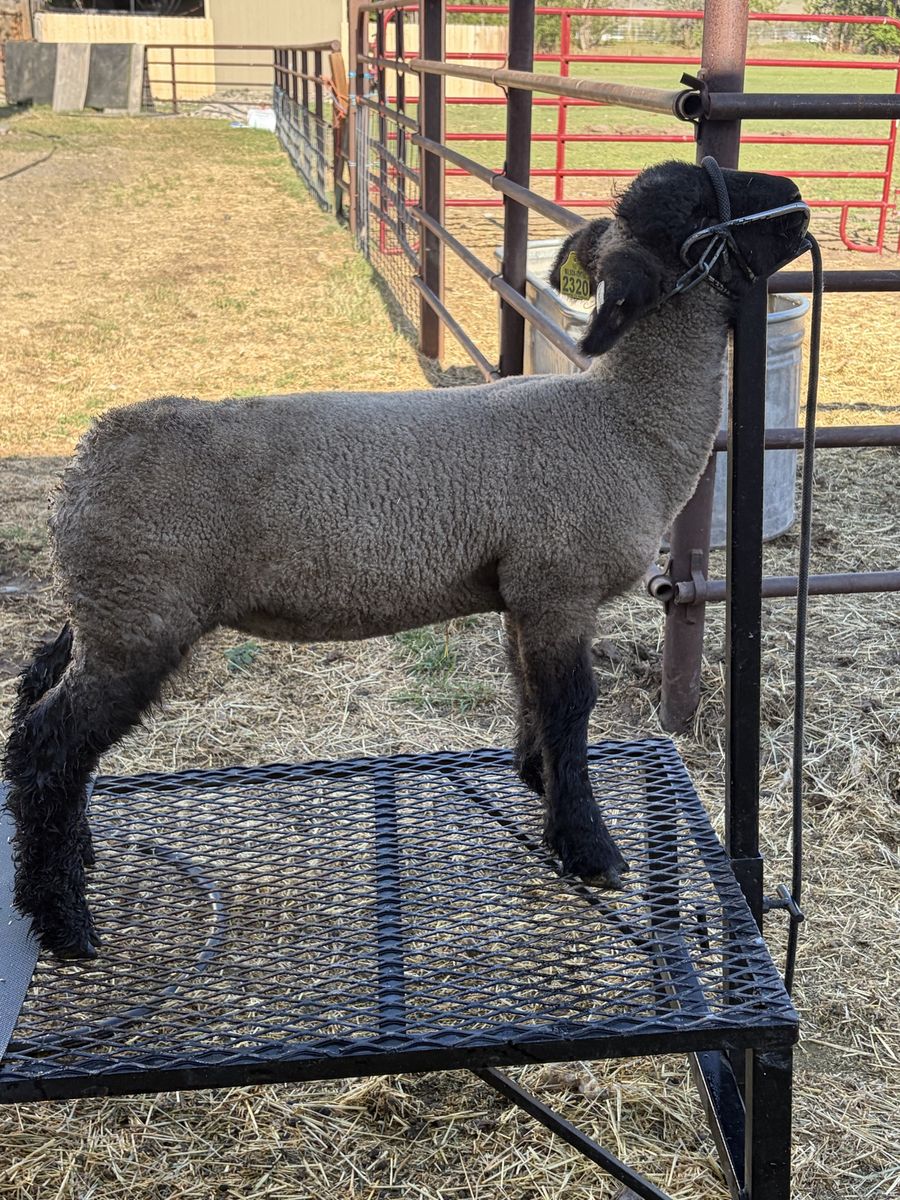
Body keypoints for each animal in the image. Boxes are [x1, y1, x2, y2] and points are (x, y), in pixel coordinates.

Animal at [3, 160, 810, 959]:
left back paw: (73, 862)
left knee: (36, 689)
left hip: (105, 606)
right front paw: (589, 847)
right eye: (703, 205)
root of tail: (85, 460)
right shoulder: (560, 584)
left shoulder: (521, 591)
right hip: (141, 616)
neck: (627, 422)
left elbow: (530, 692)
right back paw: (64, 921)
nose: (799, 203)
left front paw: (539, 781)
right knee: (50, 743)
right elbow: (572, 703)